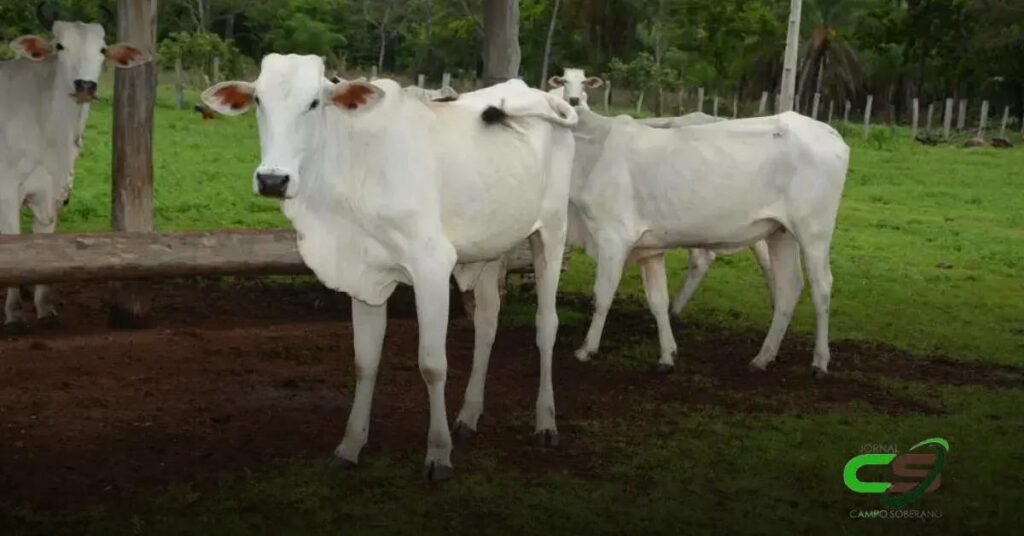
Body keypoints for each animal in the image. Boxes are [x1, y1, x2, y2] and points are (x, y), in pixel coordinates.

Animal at [203, 55, 577, 481]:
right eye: (258, 101)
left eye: (314, 102)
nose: (272, 179)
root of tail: (541, 95)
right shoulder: (363, 276)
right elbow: (365, 362)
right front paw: (350, 445)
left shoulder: (432, 267)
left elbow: (432, 365)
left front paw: (438, 453)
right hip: (490, 248)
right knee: (487, 323)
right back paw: (468, 416)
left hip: (551, 232)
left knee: (546, 326)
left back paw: (545, 422)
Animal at [569, 108, 847, 377]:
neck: (591, 152)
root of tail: (831, 133)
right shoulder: (648, 250)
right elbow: (658, 301)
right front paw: (667, 356)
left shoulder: (612, 239)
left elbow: (602, 296)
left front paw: (586, 349)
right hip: (781, 233)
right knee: (789, 287)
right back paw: (762, 358)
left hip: (814, 233)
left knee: (821, 287)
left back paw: (820, 362)